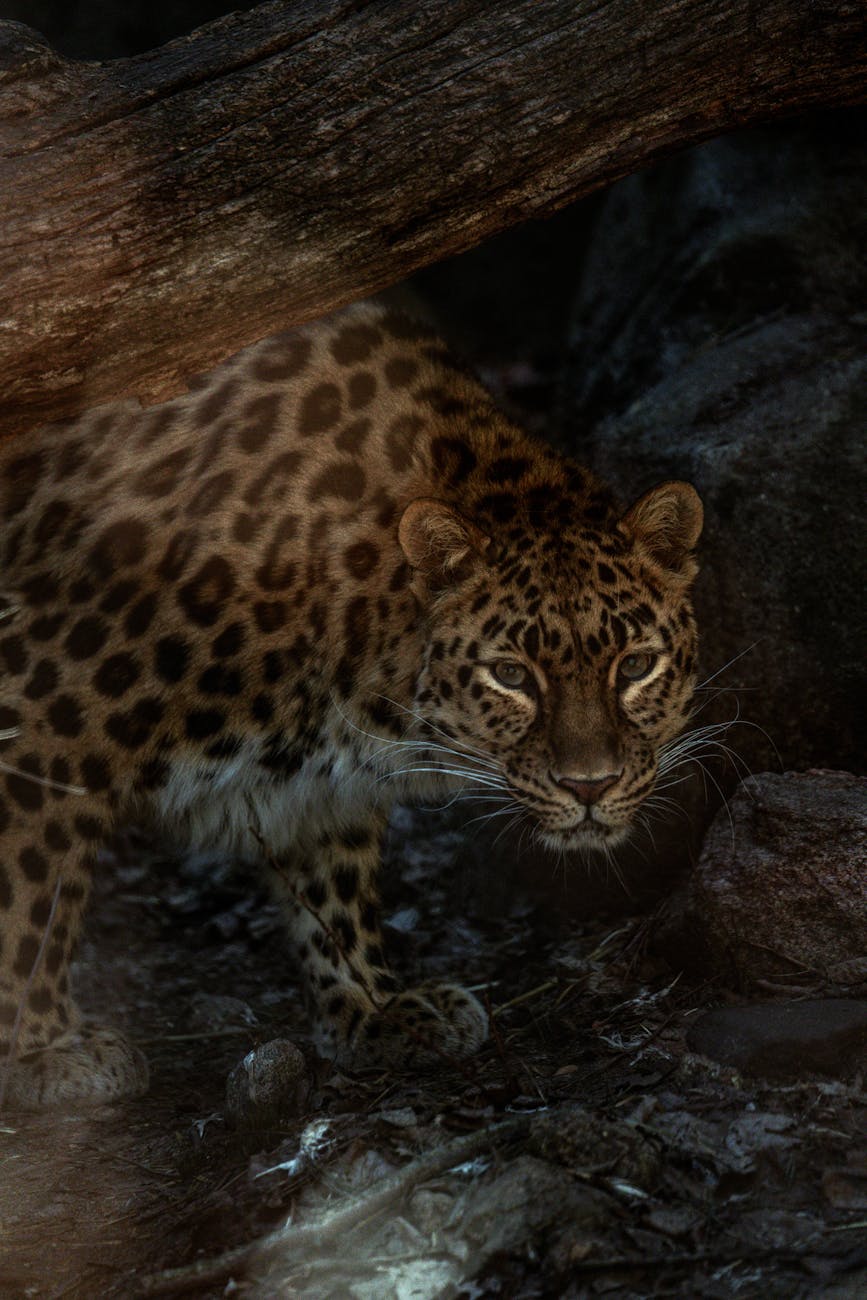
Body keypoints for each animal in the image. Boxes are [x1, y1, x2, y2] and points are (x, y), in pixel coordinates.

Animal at [0, 302, 702, 1109]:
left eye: (636, 666)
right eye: (510, 676)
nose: (590, 786)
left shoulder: (321, 781)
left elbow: (333, 885)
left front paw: (373, 1007)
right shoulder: (40, 706)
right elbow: (32, 893)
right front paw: (43, 1048)